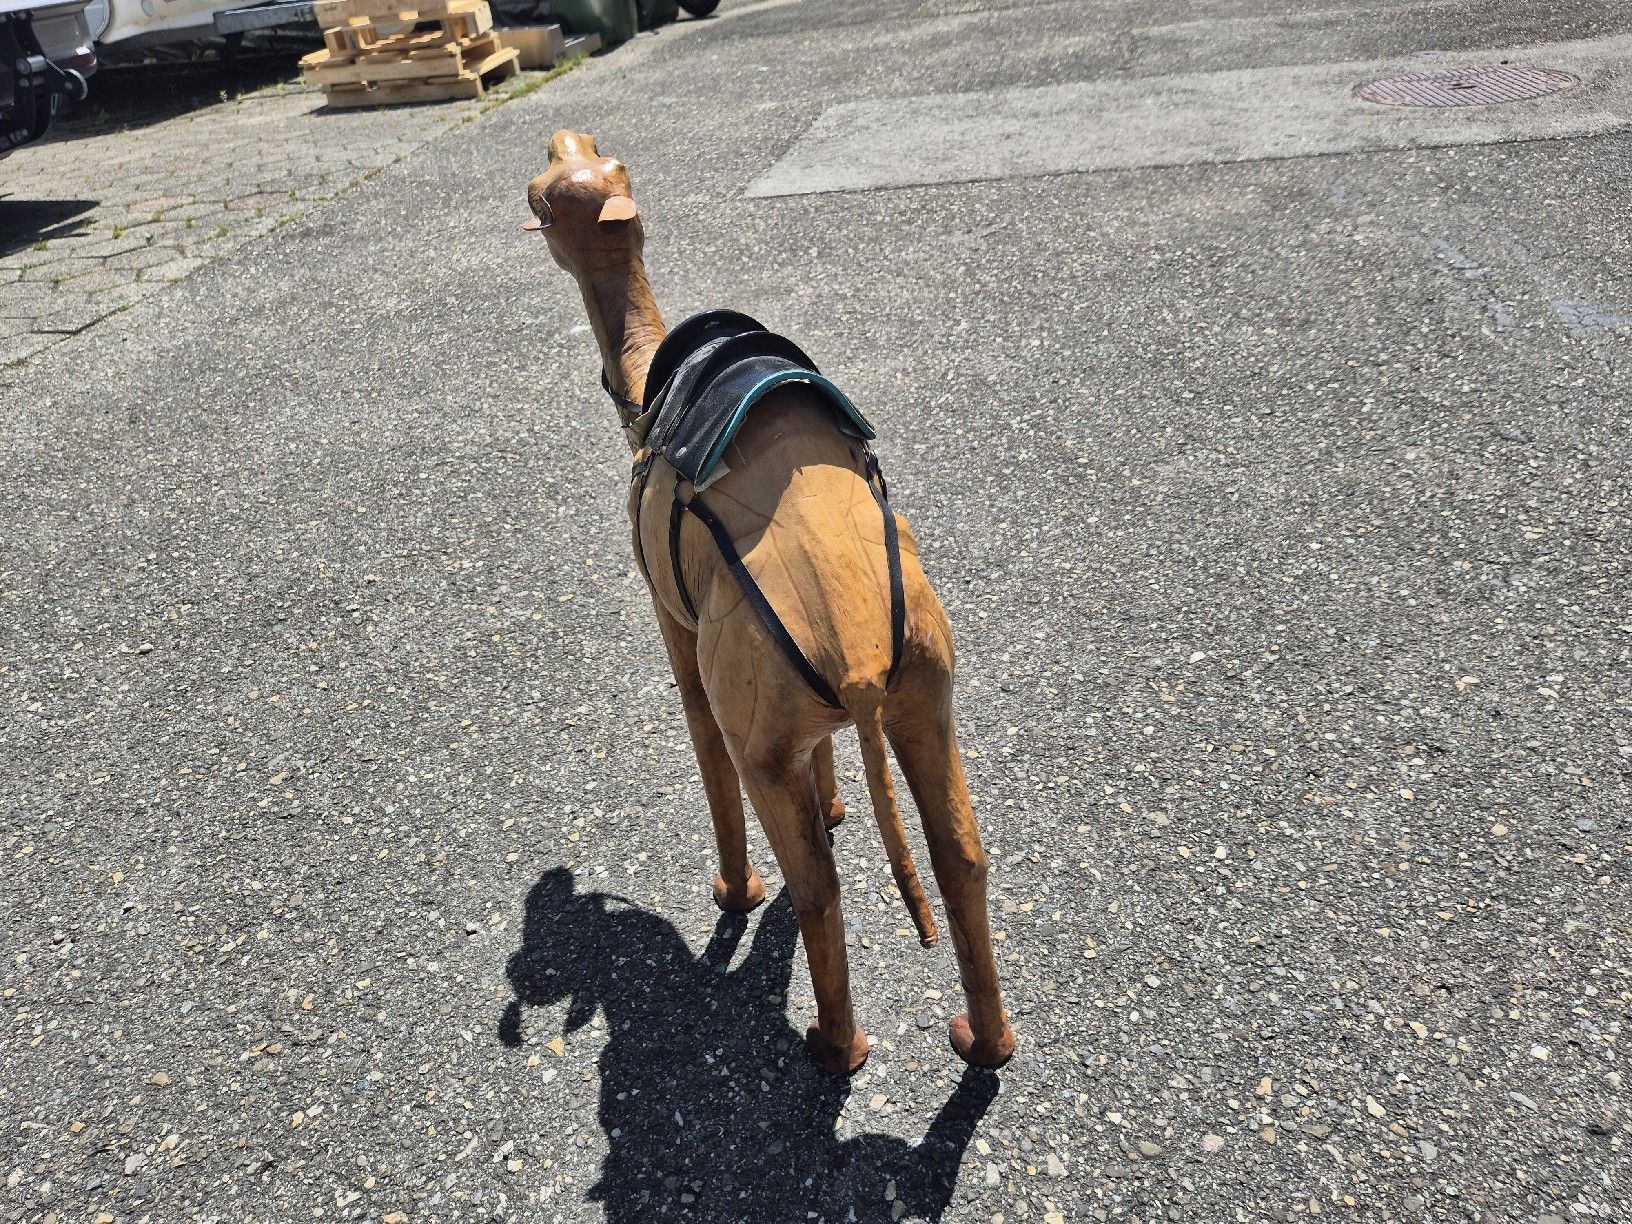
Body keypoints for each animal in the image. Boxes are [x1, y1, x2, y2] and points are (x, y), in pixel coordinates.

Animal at [524, 130, 1015, 1074]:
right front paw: (834, 806)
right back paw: (985, 1041)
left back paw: (835, 1046)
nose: (559, 142)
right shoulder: (803, 730)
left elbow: (704, 749)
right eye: (577, 167)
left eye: (551, 191)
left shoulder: (677, 628)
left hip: (759, 708)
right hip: (924, 684)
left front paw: (733, 892)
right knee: (961, 857)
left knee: (819, 892)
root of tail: (857, 655)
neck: (655, 384)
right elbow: (825, 772)